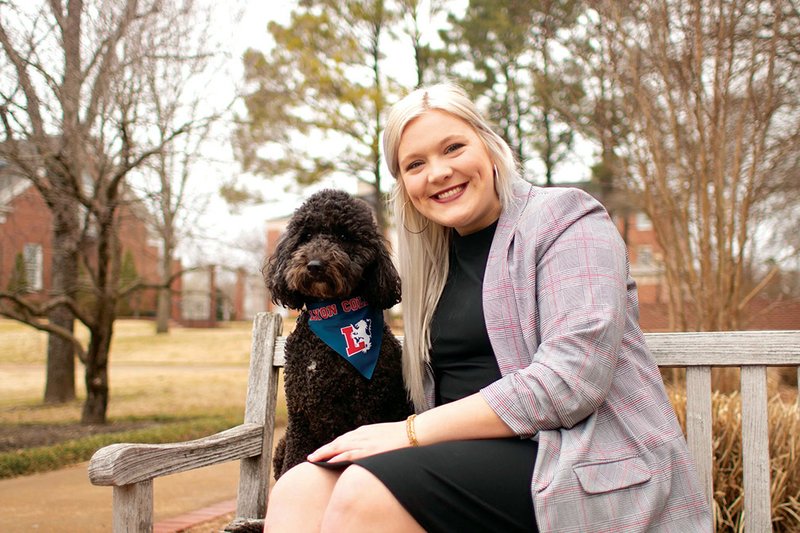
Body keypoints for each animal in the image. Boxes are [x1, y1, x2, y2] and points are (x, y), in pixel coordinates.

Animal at [266, 188, 412, 478]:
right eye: (306, 236)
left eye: (344, 237)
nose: (315, 265)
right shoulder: (299, 416)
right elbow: (293, 465)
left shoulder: (366, 411)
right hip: (283, 442)